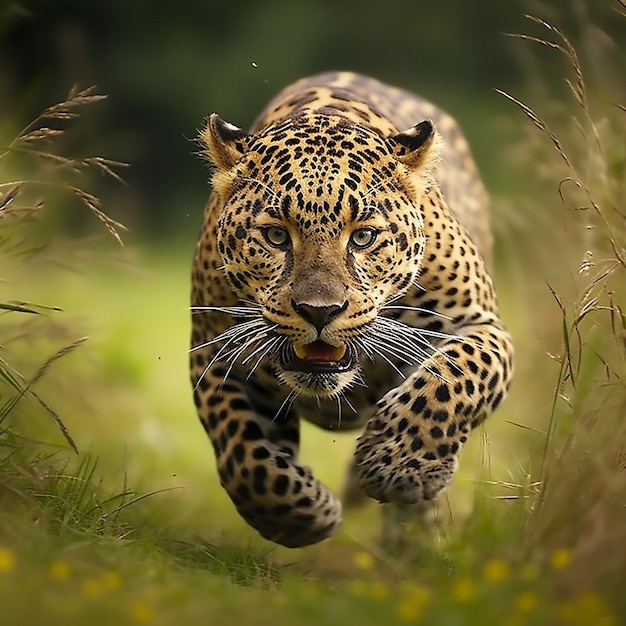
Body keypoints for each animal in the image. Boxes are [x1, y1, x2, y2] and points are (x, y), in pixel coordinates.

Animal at [189, 72, 512, 544]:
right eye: (276, 236)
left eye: (363, 237)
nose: (319, 311)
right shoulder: (215, 354)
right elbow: (244, 456)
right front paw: (304, 516)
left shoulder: (479, 325)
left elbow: (451, 379)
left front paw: (397, 465)